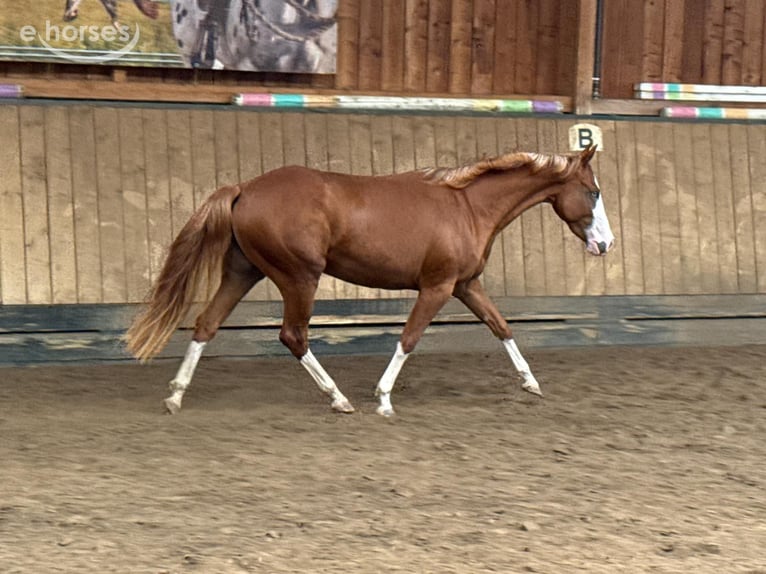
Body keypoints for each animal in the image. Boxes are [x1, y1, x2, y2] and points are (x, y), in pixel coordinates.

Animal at [125, 144, 614, 417]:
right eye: (592, 191)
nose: (606, 244)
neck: (467, 207)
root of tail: (244, 188)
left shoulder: (466, 285)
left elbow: (502, 327)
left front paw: (532, 384)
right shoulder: (437, 288)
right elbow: (409, 339)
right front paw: (383, 400)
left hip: (244, 271)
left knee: (205, 324)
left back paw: (175, 397)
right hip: (299, 277)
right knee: (293, 336)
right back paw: (339, 398)